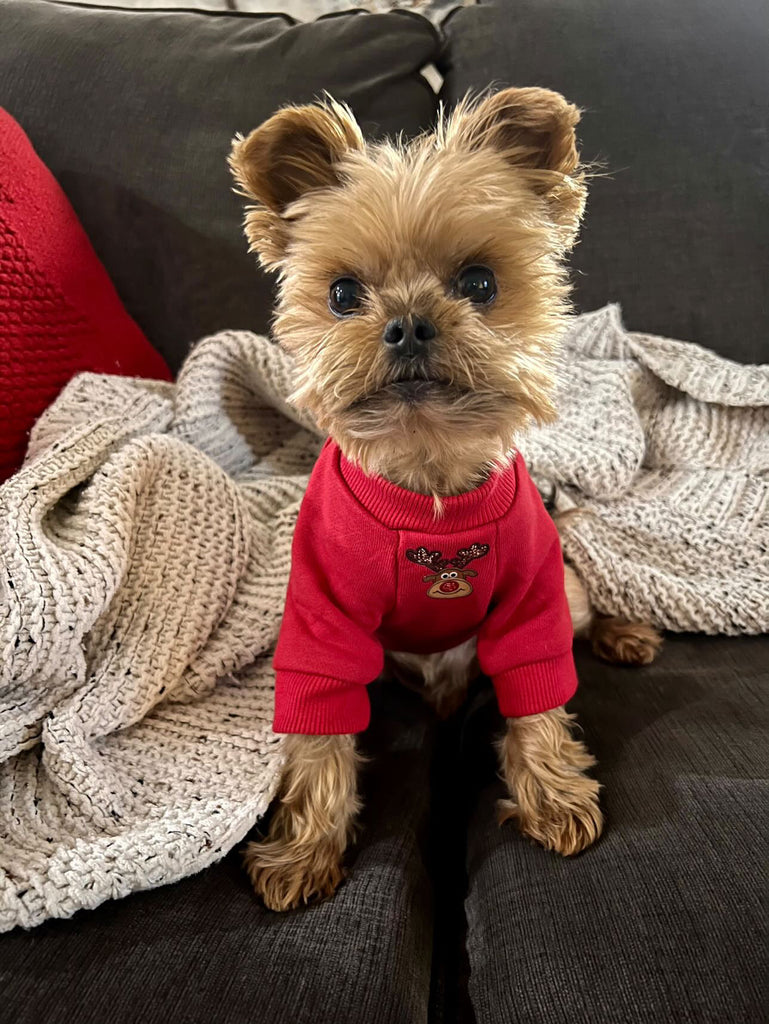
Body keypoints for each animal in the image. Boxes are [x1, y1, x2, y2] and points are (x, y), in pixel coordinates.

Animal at [230, 86, 663, 913]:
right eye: (342, 293)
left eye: (479, 283)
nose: (405, 323)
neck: (426, 484)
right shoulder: (321, 623)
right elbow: (319, 734)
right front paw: (305, 849)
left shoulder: (531, 602)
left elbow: (536, 697)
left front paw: (552, 798)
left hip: (562, 589)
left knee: (583, 608)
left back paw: (622, 633)